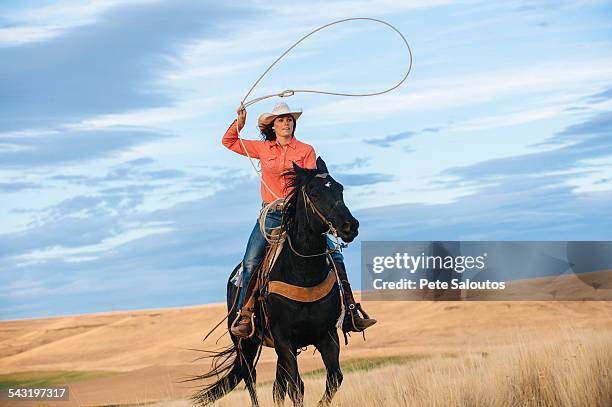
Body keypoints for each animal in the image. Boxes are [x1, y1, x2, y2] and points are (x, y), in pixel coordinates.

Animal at [192, 159, 358, 407]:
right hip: (245, 345)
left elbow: (333, 378)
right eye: (315, 192)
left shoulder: (326, 335)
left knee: (277, 388)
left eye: (340, 189)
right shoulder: (283, 338)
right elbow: (296, 387)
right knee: (250, 379)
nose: (350, 226)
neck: (303, 272)